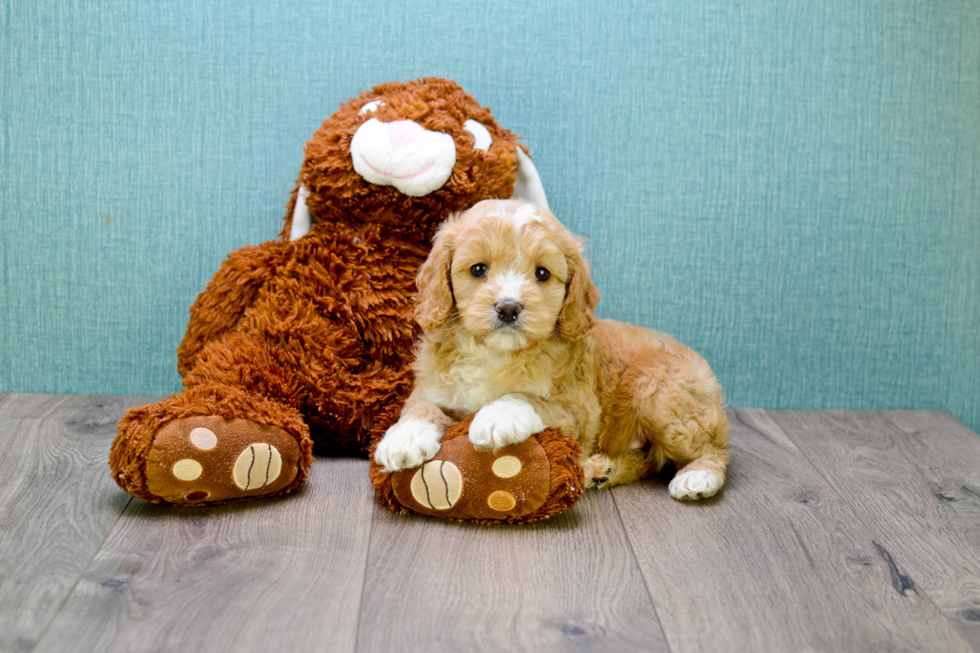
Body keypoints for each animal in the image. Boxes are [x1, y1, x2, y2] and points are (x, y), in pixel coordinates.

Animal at [376, 199, 728, 500]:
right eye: (478, 269)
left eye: (542, 273)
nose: (508, 308)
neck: (496, 353)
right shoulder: (432, 386)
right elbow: (420, 407)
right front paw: (404, 438)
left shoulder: (579, 413)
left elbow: (527, 397)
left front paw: (497, 415)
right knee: (650, 460)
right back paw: (600, 469)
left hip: (655, 387)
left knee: (714, 449)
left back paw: (697, 477)